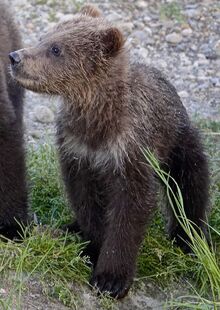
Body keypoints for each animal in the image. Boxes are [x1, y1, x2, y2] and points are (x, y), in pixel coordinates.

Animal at [9, 4, 210, 298]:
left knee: (190, 185)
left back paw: (188, 239)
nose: (15, 57)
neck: (97, 119)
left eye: (56, 49)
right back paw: (71, 227)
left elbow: (130, 208)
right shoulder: (77, 148)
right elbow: (85, 198)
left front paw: (111, 279)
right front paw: (91, 245)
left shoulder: (130, 149)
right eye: (44, 37)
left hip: (180, 142)